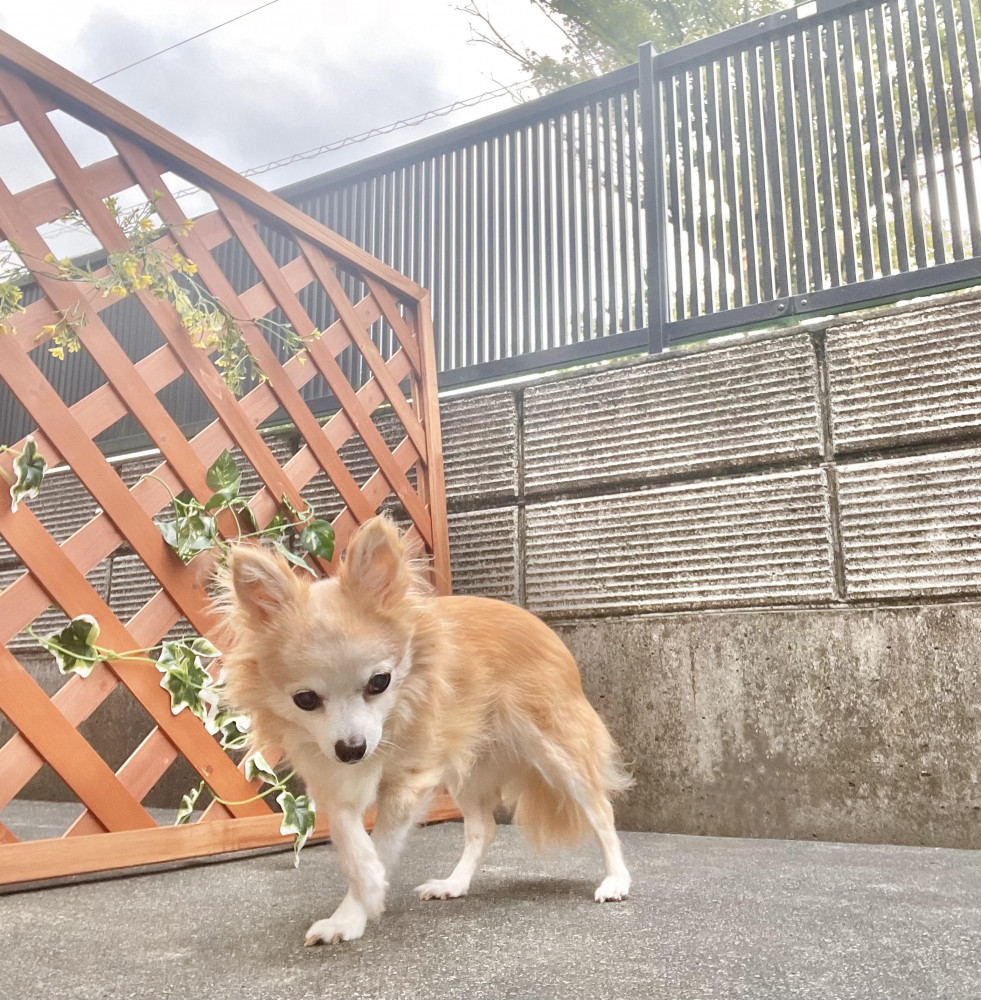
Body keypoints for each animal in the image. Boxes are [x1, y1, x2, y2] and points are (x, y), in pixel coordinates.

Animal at [216, 516, 628, 944]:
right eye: (305, 700)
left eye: (379, 682)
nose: (352, 748)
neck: (389, 728)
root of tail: (540, 625)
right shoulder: (333, 776)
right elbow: (351, 839)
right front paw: (364, 887)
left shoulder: (410, 781)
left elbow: (382, 842)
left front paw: (354, 911)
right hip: (468, 769)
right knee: (482, 829)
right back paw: (455, 884)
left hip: (557, 750)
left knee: (601, 811)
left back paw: (616, 880)